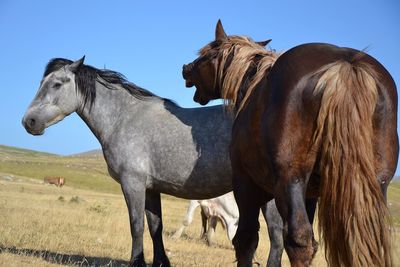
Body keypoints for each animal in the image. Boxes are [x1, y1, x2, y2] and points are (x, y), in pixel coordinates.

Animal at [21, 57, 284, 266]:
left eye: (56, 84)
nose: (29, 121)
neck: (124, 118)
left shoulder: (133, 184)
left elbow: (136, 225)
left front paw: (136, 262)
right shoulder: (151, 189)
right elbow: (155, 227)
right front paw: (161, 262)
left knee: (277, 235)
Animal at [183, 21, 398, 267]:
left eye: (205, 54)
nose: (185, 68)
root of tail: (344, 66)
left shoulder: (246, 185)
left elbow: (246, 239)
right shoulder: (311, 195)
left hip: (290, 180)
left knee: (298, 241)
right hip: (376, 186)